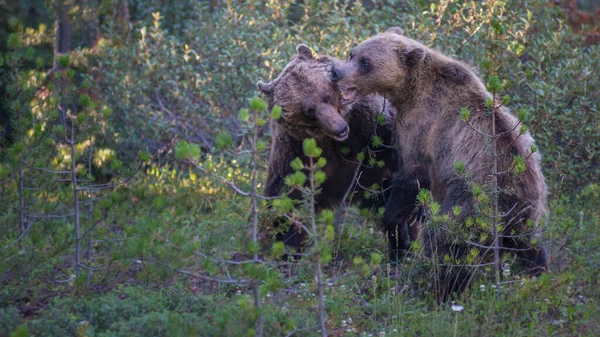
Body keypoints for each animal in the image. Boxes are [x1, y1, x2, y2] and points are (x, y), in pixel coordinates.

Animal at [258, 44, 422, 255]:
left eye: (326, 96)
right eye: (309, 111)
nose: (340, 128)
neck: (330, 142)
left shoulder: (372, 128)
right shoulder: (293, 152)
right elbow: (285, 198)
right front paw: (286, 246)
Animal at [330, 27, 552, 292]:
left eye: (365, 62)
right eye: (352, 53)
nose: (335, 72)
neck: (409, 90)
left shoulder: (421, 127)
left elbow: (411, 176)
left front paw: (399, 230)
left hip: (472, 204)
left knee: (446, 241)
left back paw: (440, 287)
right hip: (528, 210)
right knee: (530, 245)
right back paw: (539, 272)